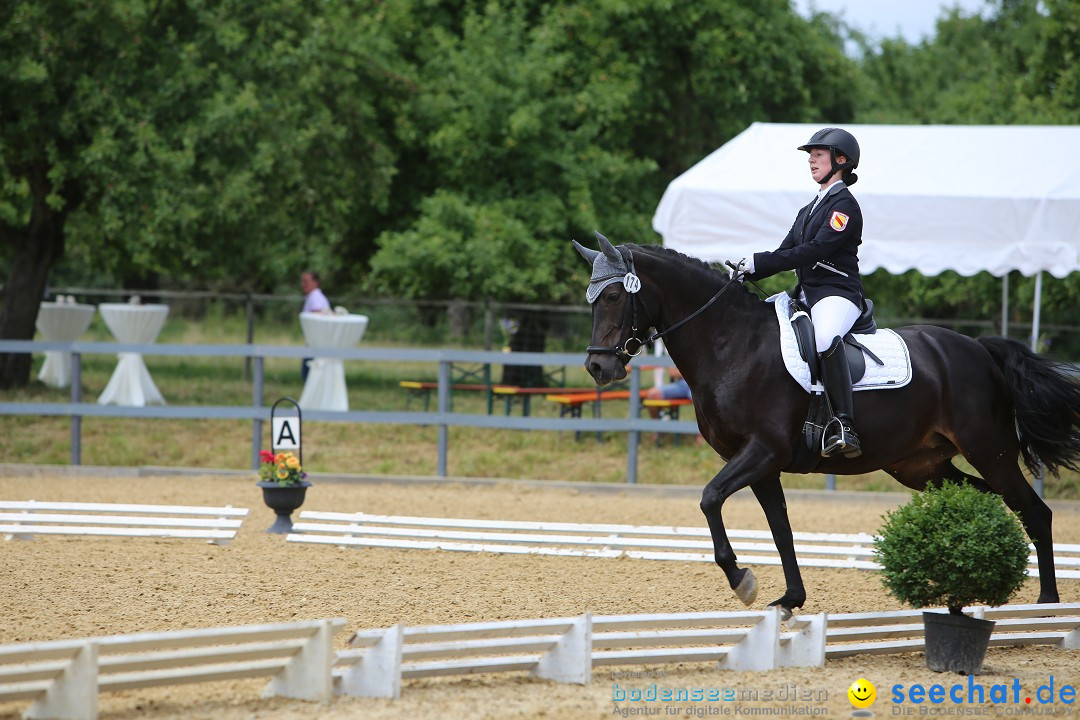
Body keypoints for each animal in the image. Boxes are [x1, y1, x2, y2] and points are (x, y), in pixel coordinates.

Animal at [574, 234, 1080, 617]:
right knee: (993, 500)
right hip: (923, 468)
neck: (731, 344)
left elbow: (710, 498)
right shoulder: (760, 463)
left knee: (1035, 512)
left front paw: (742, 580)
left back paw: (1046, 604)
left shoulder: (762, 450)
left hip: (990, 450)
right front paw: (788, 599)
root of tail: (978, 349)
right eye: (591, 301)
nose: (598, 368)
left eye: (615, 296)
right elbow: (780, 529)